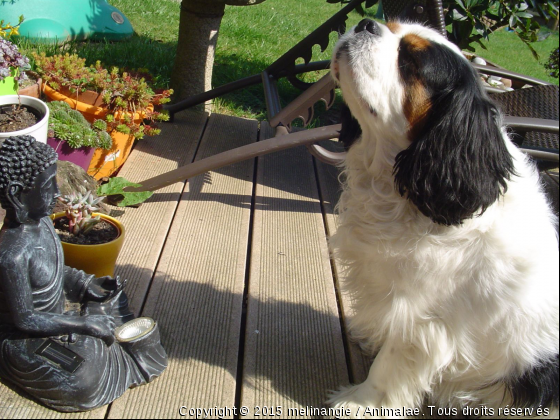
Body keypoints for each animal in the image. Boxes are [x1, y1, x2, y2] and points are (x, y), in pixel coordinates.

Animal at [328, 18, 560, 416]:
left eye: (410, 63)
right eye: (389, 25)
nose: (365, 23)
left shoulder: (421, 319)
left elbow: (390, 365)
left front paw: (360, 401)